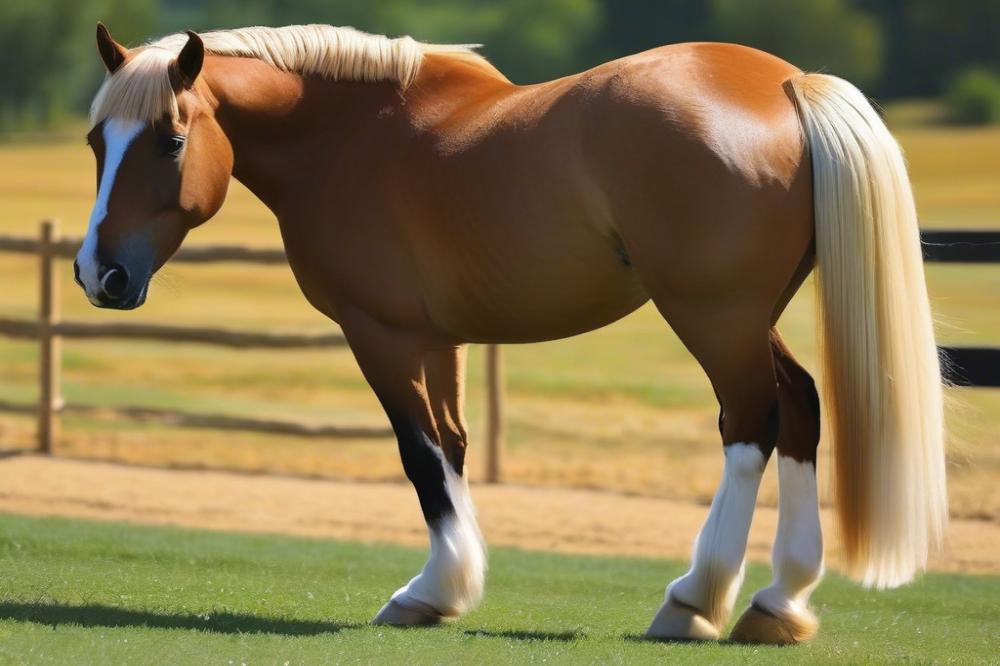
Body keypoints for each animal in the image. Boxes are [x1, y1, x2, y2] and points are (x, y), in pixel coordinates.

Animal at [78, 23, 944, 640]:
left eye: (172, 139)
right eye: (96, 142)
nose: (99, 273)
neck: (348, 136)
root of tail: (786, 82)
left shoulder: (380, 335)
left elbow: (420, 457)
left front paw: (435, 589)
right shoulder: (439, 337)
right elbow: (454, 447)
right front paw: (446, 588)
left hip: (713, 313)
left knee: (750, 422)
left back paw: (696, 600)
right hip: (750, 314)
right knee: (799, 406)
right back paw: (779, 601)